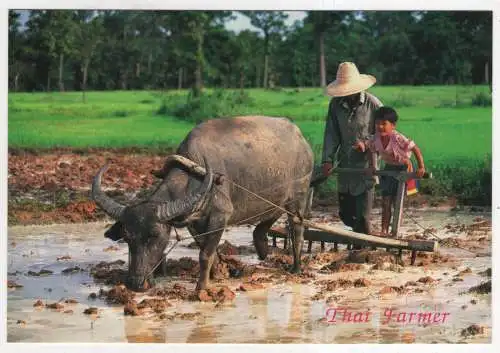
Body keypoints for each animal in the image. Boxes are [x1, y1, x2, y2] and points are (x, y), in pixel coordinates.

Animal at [91, 115, 312, 292]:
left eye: (155, 236)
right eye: (127, 237)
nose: (136, 284)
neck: (196, 176)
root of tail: (302, 139)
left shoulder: (220, 215)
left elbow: (205, 254)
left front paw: (201, 287)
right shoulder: (193, 219)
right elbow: (204, 246)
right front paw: (219, 273)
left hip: (298, 198)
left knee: (297, 229)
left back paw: (296, 267)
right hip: (277, 197)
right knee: (268, 218)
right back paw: (262, 249)